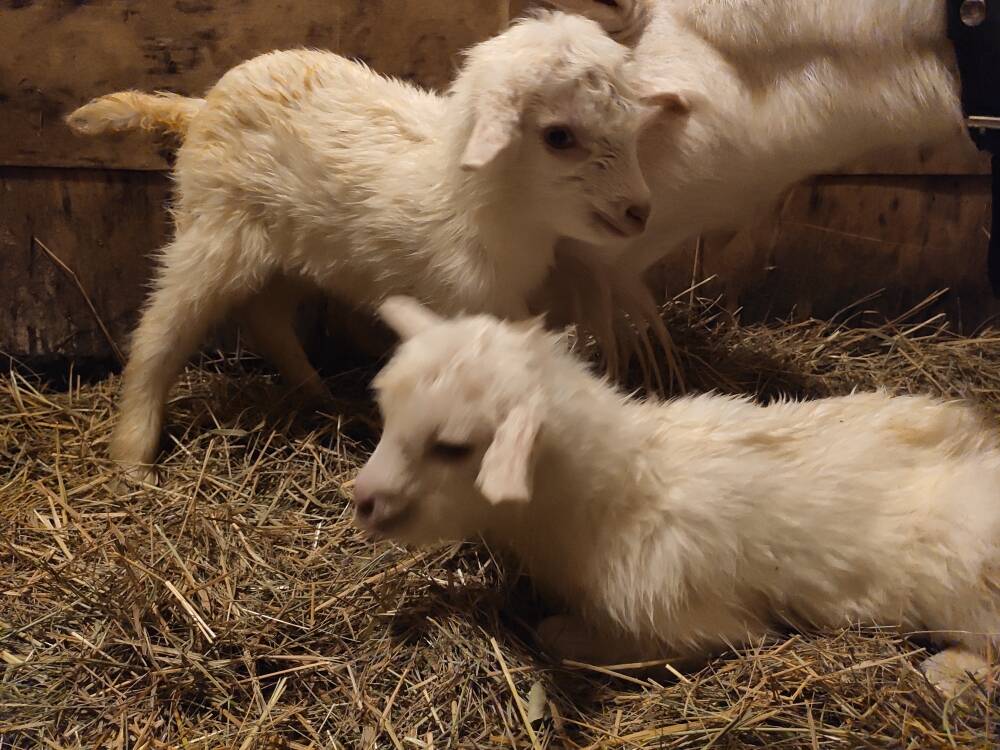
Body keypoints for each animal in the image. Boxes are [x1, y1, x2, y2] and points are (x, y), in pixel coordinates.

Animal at [67, 11, 686, 482]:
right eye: (559, 136)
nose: (640, 211)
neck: (469, 197)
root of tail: (199, 107)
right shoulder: (468, 301)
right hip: (214, 229)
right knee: (160, 331)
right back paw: (132, 456)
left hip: (295, 251)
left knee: (267, 319)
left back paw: (321, 395)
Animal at [355, 296, 999, 690]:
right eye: (385, 410)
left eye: (453, 447)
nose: (363, 500)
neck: (615, 496)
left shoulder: (697, 624)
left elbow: (578, 639)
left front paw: (560, 631)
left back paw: (950, 674)